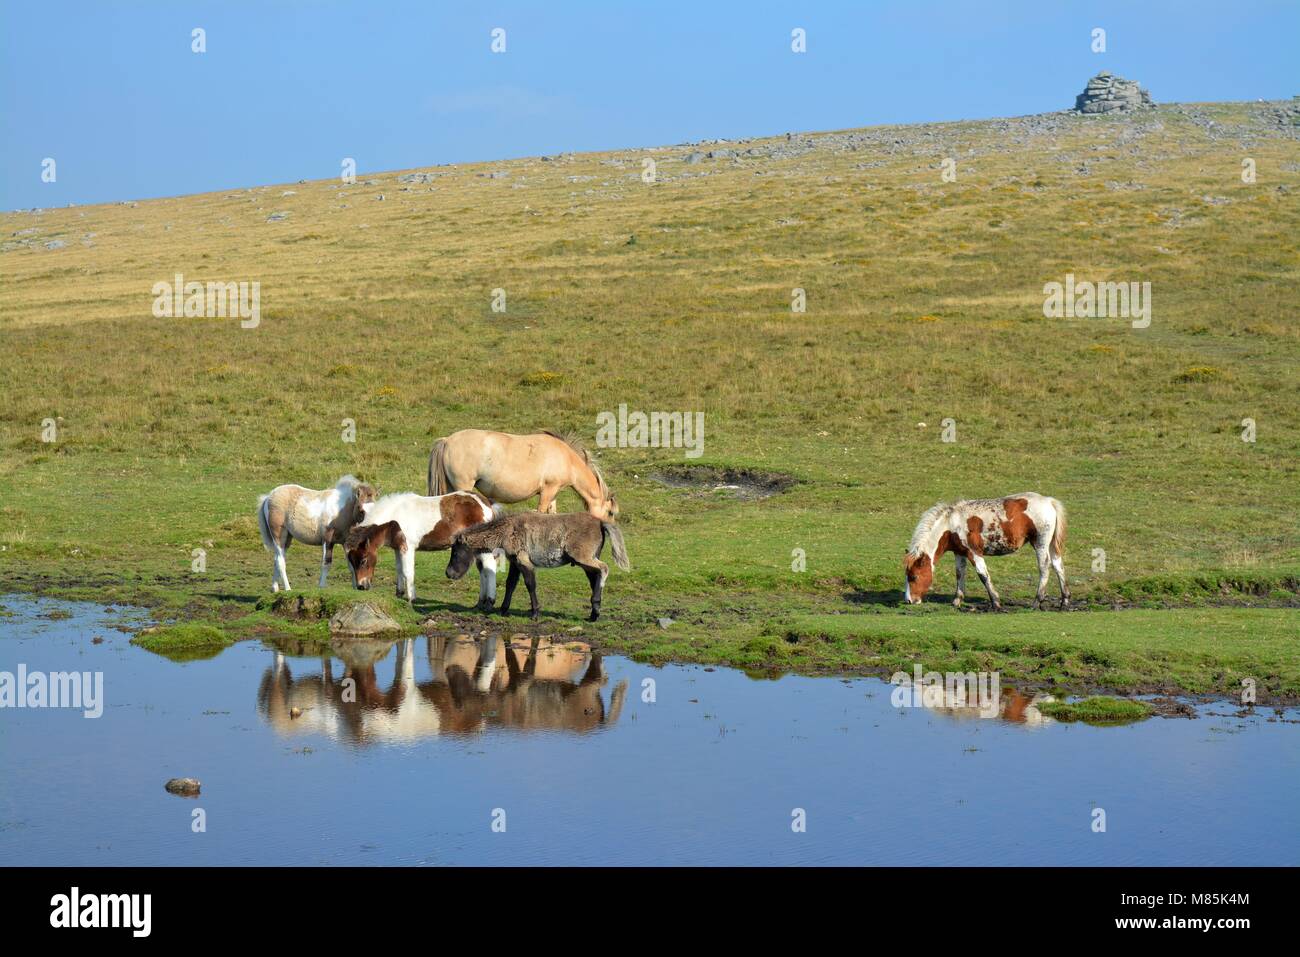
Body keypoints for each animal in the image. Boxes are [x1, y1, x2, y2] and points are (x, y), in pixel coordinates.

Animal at [344, 491, 503, 606]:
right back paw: (480, 603)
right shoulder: (398, 548)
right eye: (351, 562)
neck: (395, 519)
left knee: (489, 567)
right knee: (482, 570)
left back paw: (489, 602)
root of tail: (486, 504)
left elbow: (408, 572)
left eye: (363, 560)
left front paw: (411, 599)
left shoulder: (408, 547)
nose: (361, 586)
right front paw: (399, 594)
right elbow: (399, 569)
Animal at [427, 429, 618, 520]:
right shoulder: (548, 490)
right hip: (464, 485)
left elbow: (552, 513)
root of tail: (447, 440)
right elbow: (541, 511)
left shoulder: (553, 491)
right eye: (610, 513)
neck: (566, 458)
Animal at [446, 512, 630, 621]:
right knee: (595, 578)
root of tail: (600, 523)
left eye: (455, 551)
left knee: (604, 569)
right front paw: (503, 610)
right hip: (585, 561)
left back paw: (595, 610)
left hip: (583, 557)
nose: (449, 573)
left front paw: (535, 613)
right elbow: (510, 584)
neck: (507, 531)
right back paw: (593, 613)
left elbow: (530, 584)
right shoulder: (514, 562)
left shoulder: (524, 561)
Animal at [903, 493, 1068, 611]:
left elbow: (983, 575)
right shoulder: (959, 553)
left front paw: (995, 602)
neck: (952, 526)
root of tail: (1049, 501)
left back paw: (1036, 602)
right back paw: (1065, 601)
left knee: (1044, 568)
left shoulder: (974, 552)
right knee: (1058, 566)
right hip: (1051, 546)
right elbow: (959, 574)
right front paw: (957, 601)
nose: (909, 600)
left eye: (914, 577)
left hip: (1040, 543)